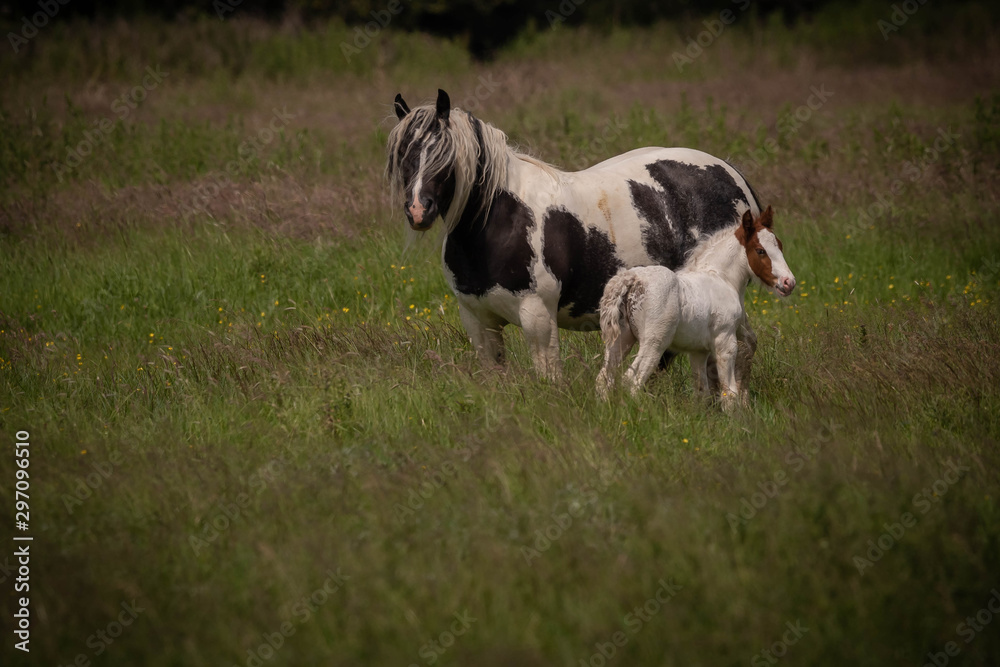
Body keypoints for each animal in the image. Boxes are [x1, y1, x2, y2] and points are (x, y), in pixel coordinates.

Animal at [387, 89, 765, 380]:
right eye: (403, 155)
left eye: (444, 153)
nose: (418, 210)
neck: (499, 223)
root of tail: (732, 172)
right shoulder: (479, 321)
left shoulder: (538, 318)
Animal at [595, 206, 795, 409]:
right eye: (760, 250)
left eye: (780, 245)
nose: (789, 282)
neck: (722, 278)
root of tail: (632, 279)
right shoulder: (725, 342)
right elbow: (730, 392)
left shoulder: (699, 351)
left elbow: (702, 392)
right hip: (654, 343)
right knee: (631, 380)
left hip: (621, 340)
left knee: (604, 378)